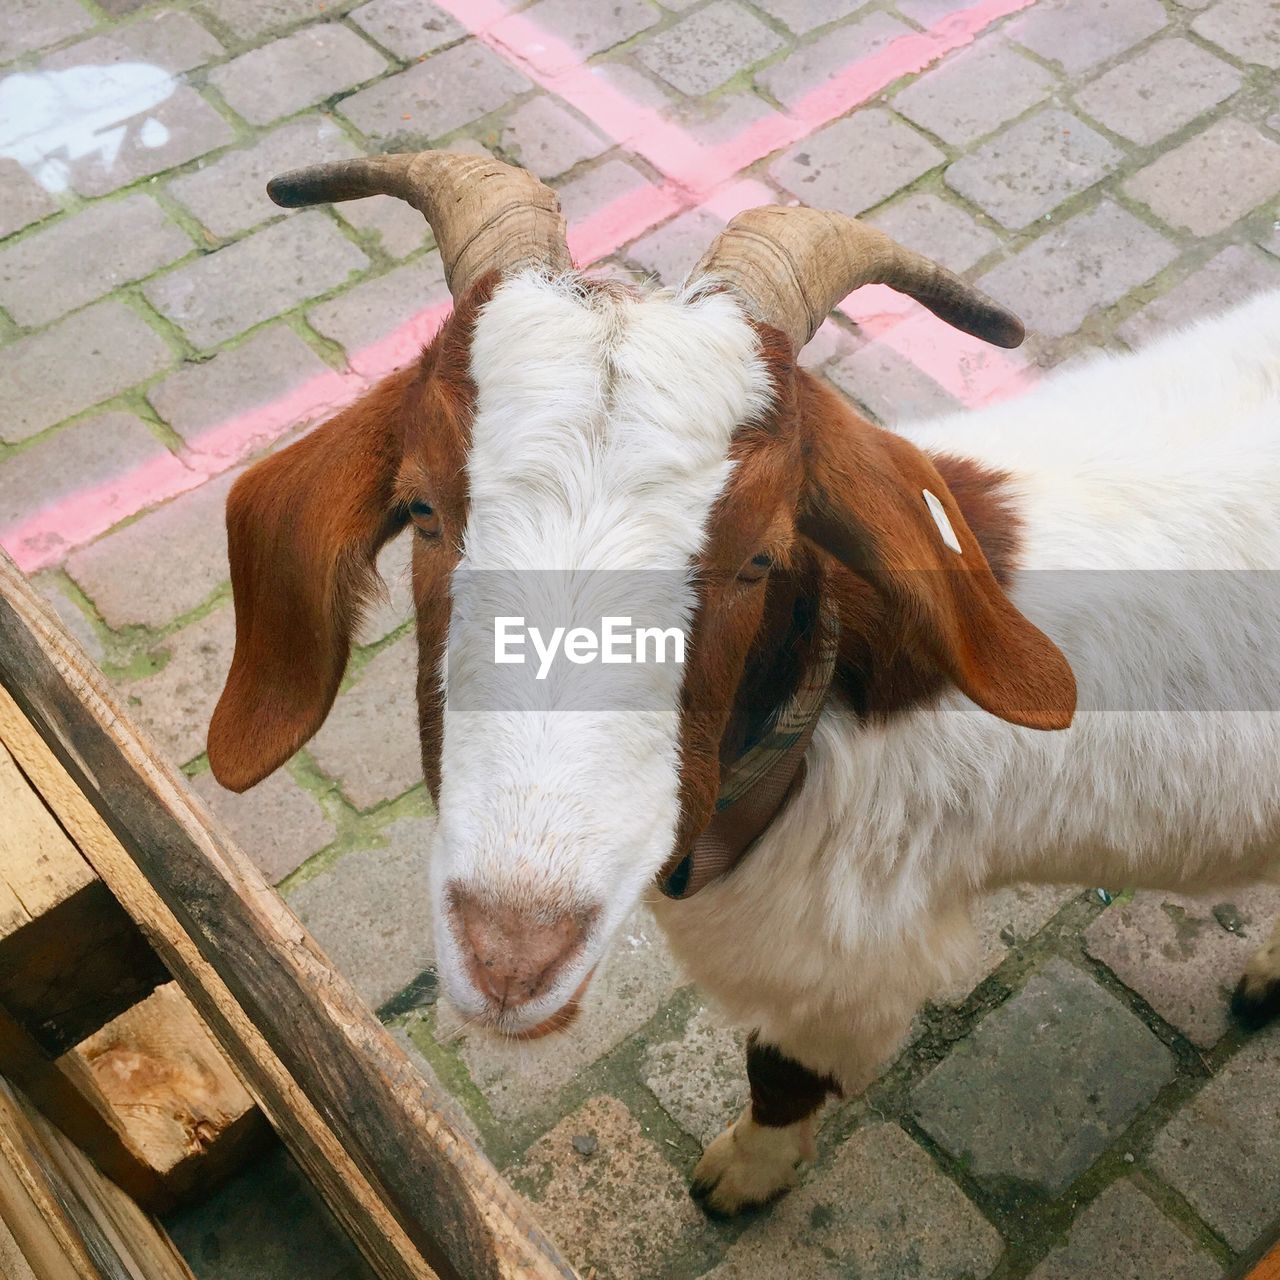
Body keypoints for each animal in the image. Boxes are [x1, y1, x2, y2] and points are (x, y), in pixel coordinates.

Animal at [209, 147, 1280, 1208]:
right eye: (424, 510)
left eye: (762, 554)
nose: (512, 956)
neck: (825, 730)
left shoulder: (841, 970)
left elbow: (782, 1069)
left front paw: (743, 1175)